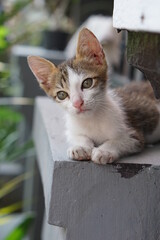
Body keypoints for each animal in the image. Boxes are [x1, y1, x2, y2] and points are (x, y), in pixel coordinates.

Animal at [27, 27, 160, 164]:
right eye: (62, 95)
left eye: (87, 83)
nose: (77, 103)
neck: (91, 120)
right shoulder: (72, 129)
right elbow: (77, 136)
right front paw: (81, 146)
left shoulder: (134, 134)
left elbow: (121, 140)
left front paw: (104, 151)